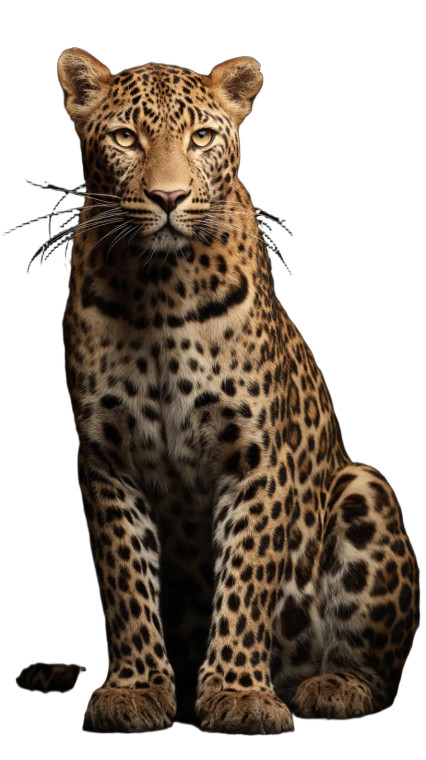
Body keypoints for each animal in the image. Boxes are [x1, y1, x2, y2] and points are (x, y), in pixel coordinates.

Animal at [54, 47, 419, 734]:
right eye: (125, 138)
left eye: (201, 137)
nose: (168, 197)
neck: (160, 288)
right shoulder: (106, 456)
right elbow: (125, 579)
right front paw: (135, 689)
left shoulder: (253, 454)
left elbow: (248, 575)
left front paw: (240, 694)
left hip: (366, 486)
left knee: (379, 675)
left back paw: (332, 687)